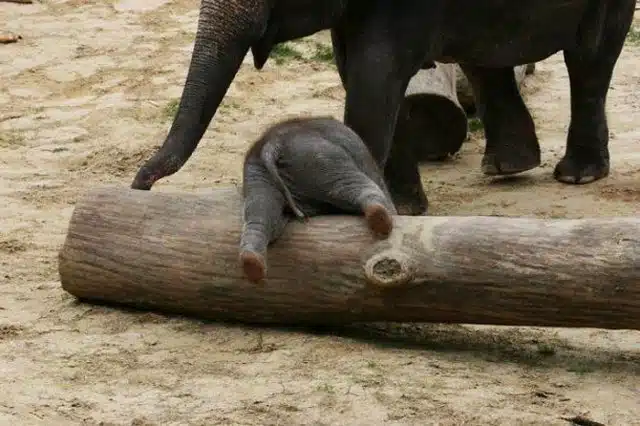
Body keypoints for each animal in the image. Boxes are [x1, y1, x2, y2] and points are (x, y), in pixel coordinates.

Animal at [130, 0, 636, 215]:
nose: (140, 184)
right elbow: (361, 74)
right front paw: (407, 207)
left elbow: (374, 78)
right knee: (485, 58)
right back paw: (507, 166)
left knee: (590, 57)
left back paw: (578, 174)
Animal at [240, 115, 400, 282]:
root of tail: (272, 143)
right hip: (317, 157)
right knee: (349, 185)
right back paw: (383, 220)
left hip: (258, 175)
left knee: (260, 212)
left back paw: (252, 264)